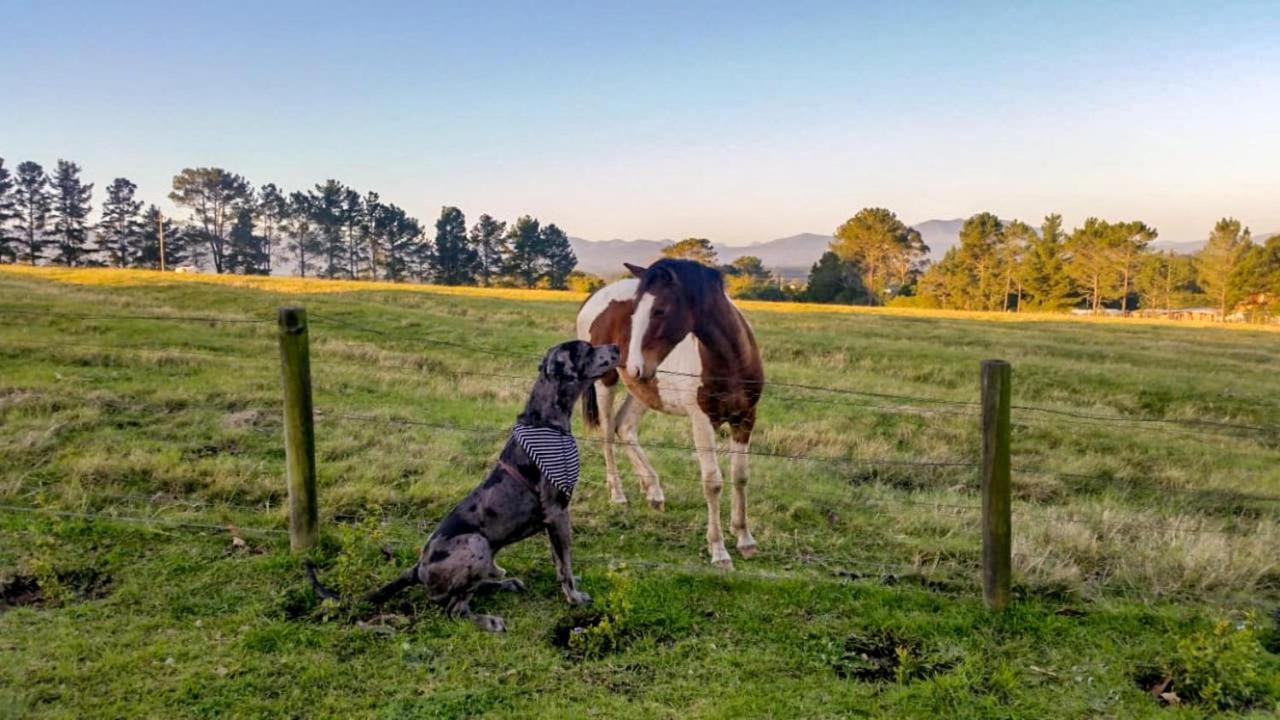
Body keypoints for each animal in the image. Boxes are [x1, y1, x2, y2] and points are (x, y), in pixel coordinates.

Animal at [304, 338, 614, 630]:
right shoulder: (558, 511)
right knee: (454, 609)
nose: (616, 347)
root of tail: (417, 568)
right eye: (586, 348)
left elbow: (558, 560)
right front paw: (575, 598)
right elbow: (565, 563)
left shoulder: (553, 518)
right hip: (476, 543)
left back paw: (504, 582)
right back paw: (488, 620)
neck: (546, 422)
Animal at [576, 257, 762, 566]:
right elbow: (713, 482)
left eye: (659, 310)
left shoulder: (745, 418)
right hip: (607, 382)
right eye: (634, 312)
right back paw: (618, 494)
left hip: (644, 389)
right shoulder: (702, 422)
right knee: (607, 435)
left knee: (624, 427)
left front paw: (745, 538)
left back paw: (653, 492)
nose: (634, 365)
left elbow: (741, 477)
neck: (731, 360)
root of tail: (593, 299)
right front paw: (719, 550)